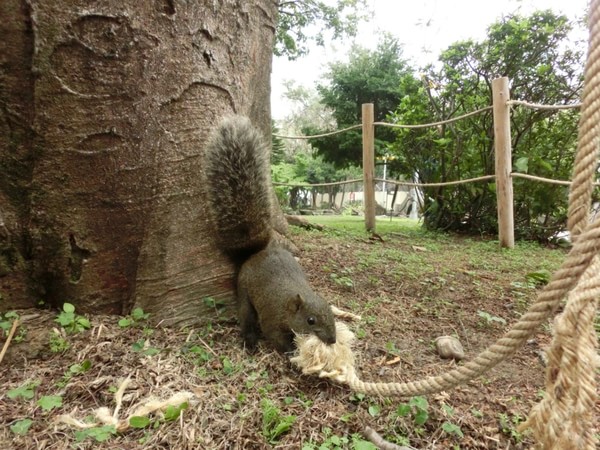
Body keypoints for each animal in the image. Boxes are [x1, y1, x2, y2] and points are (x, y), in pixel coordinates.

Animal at [204, 114, 338, 354]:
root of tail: (254, 254)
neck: (287, 304)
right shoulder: (271, 319)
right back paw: (250, 340)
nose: (332, 340)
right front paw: (292, 351)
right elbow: (274, 336)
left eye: (332, 314)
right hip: (244, 291)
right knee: (246, 316)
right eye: (310, 321)